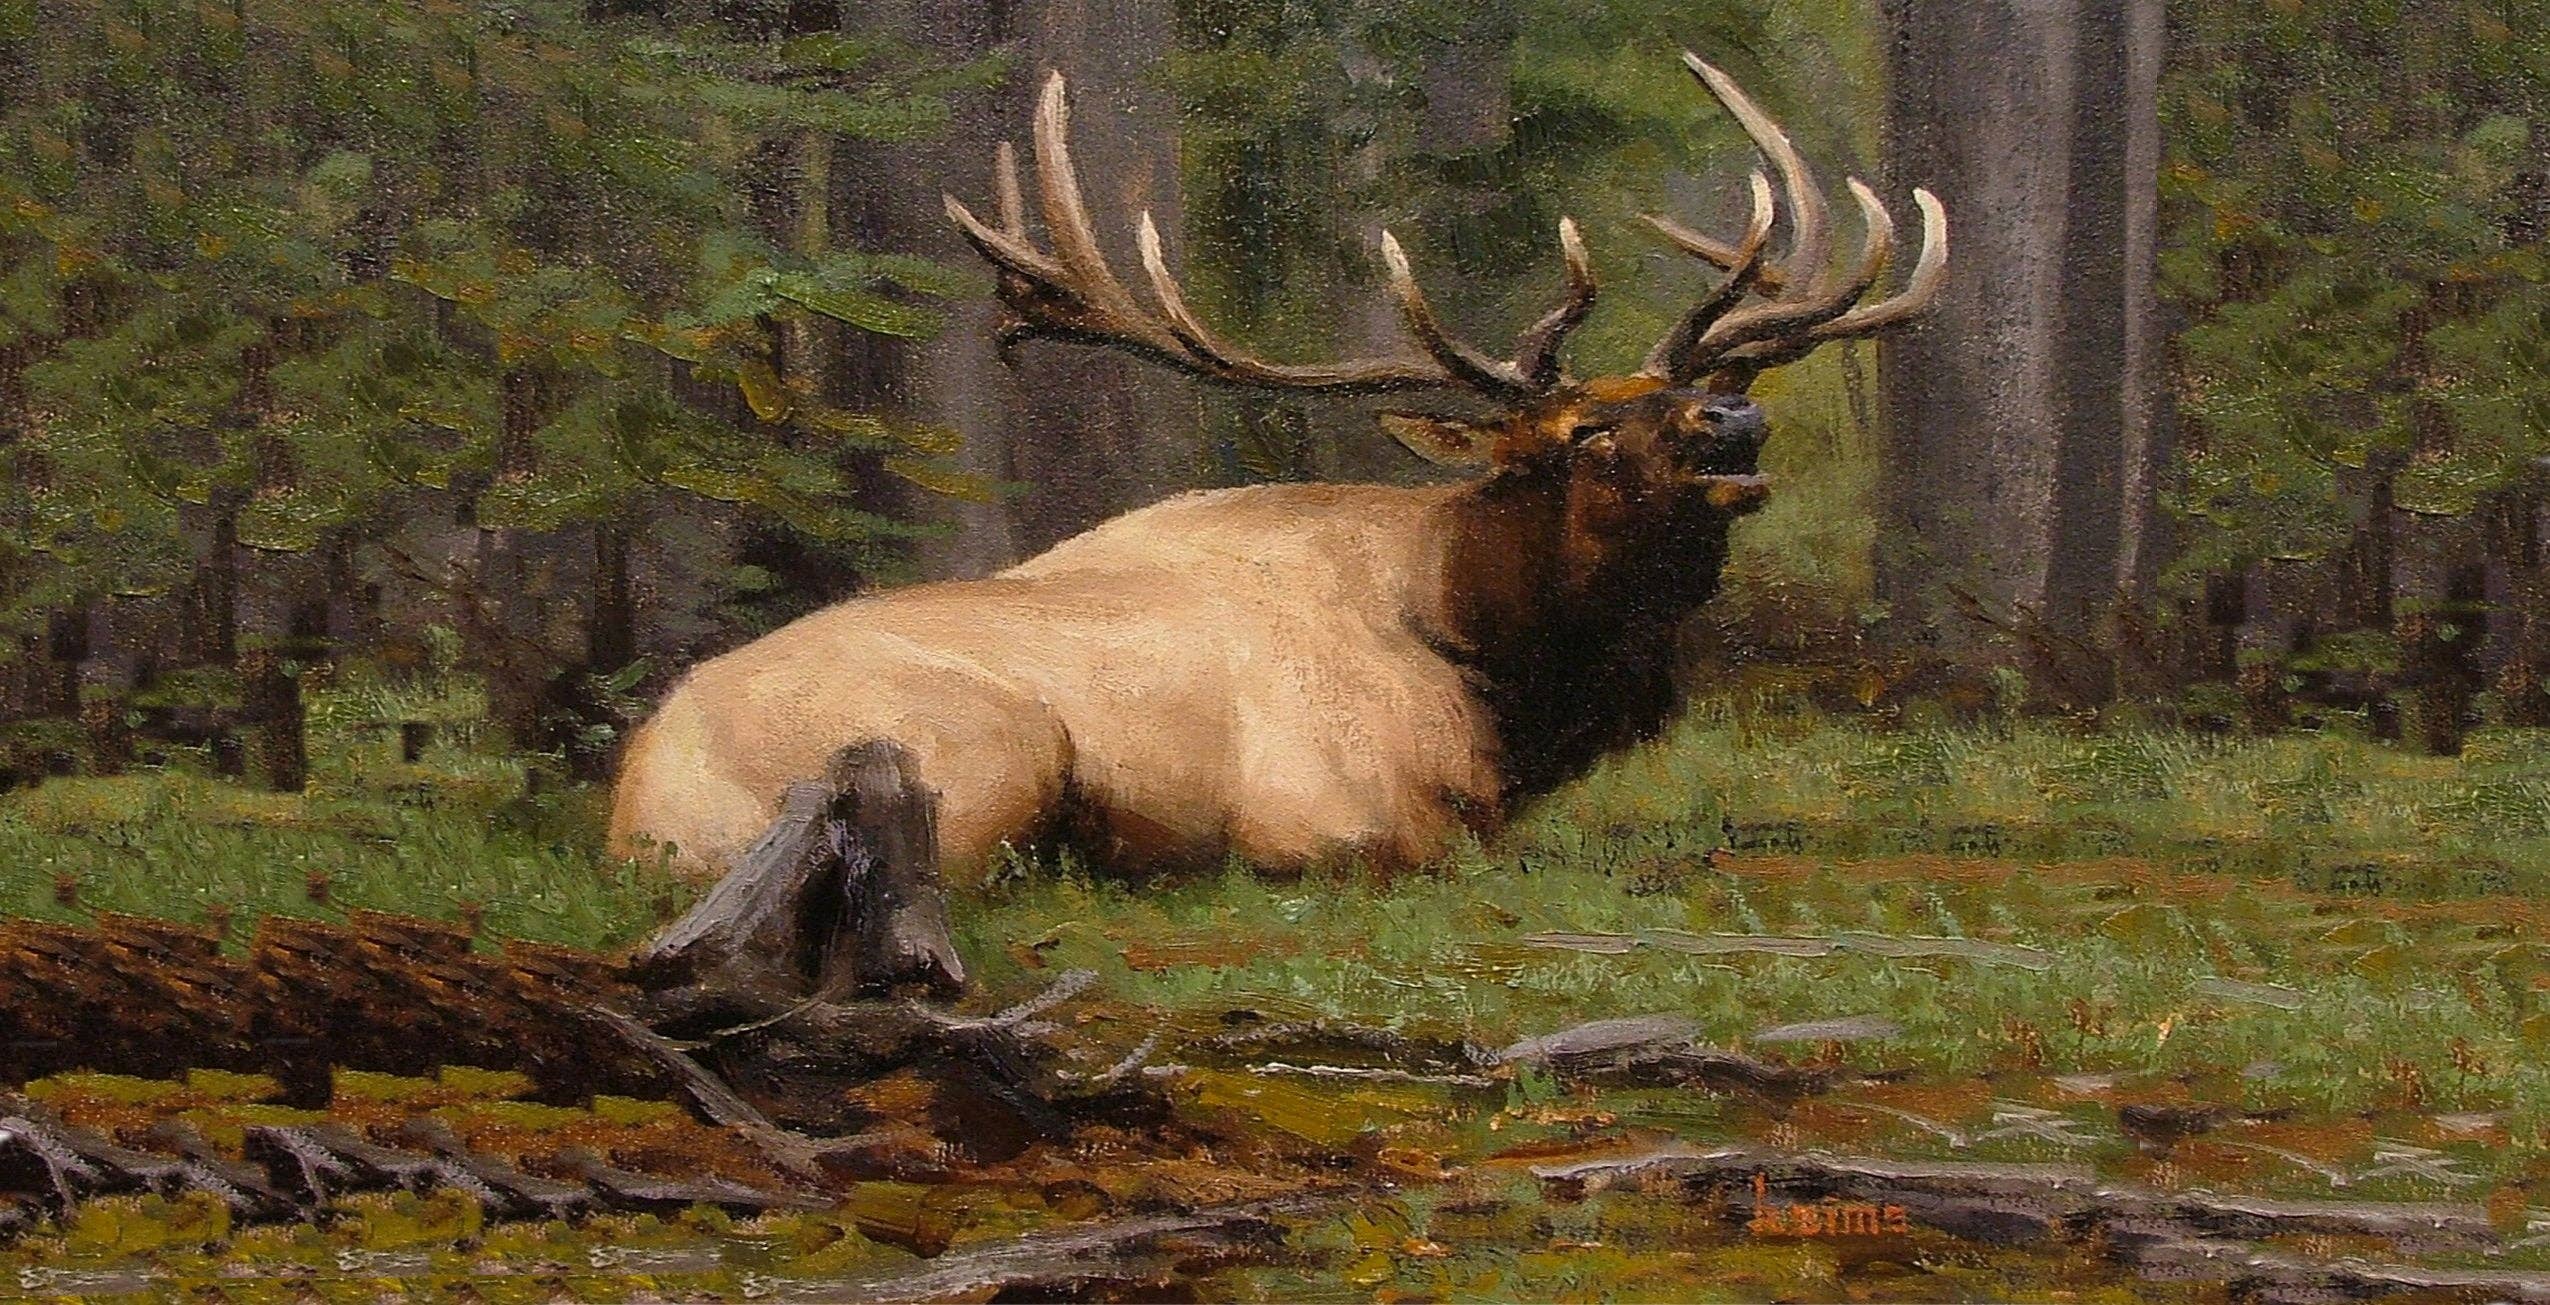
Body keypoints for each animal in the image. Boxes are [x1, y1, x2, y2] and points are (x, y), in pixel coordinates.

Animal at [607, 54, 1945, 994]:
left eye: (1692, 392)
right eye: (1580, 433)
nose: (1735, 420)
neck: (1495, 663)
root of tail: (633, 797)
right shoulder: (1337, 818)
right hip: (985, 748)